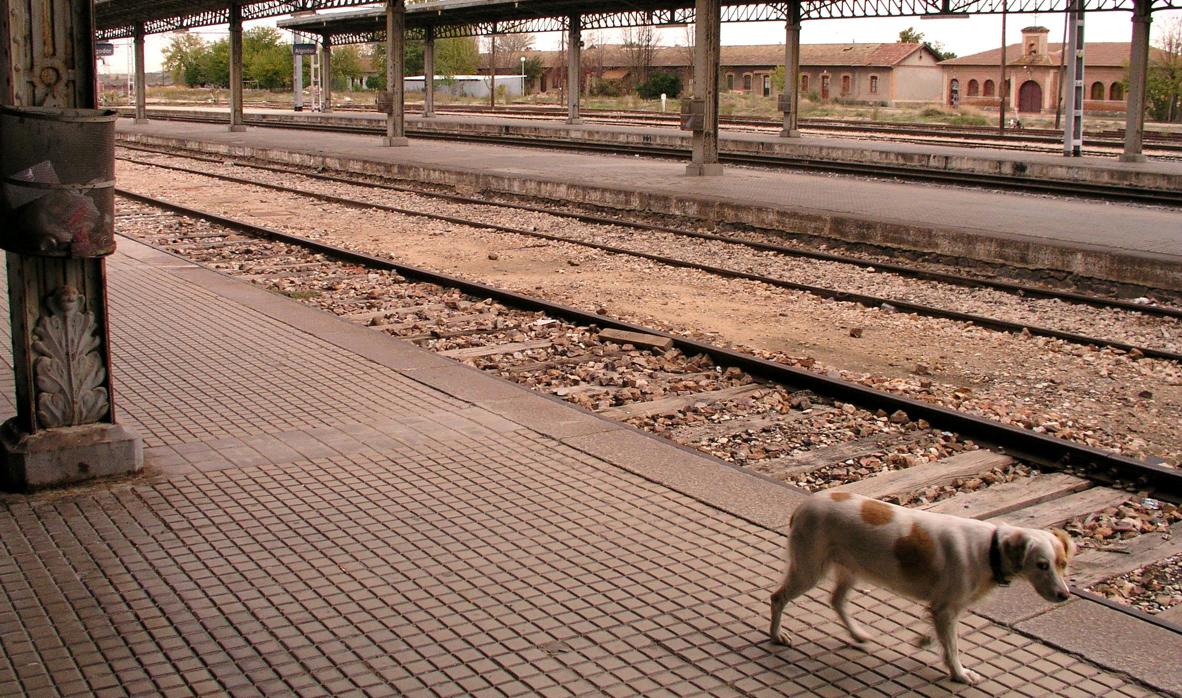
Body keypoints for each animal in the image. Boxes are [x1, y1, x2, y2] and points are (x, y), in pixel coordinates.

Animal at [770, 491, 1077, 685]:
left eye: (1062, 564)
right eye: (1041, 565)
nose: (1064, 595)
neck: (988, 550)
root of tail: (804, 505)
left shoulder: (942, 609)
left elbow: (942, 639)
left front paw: (926, 641)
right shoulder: (946, 609)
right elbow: (952, 648)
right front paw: (960, 674)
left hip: (851, 570)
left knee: (836, 600)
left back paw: (857, 634)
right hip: (809, 570)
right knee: (777, 598)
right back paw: (776, 635)